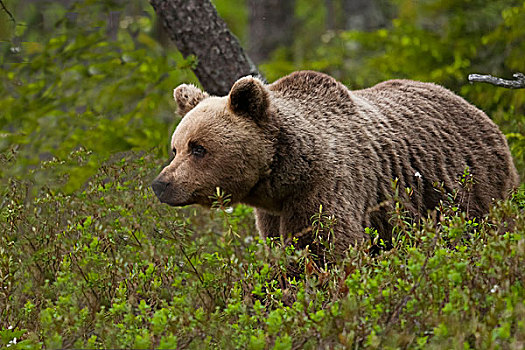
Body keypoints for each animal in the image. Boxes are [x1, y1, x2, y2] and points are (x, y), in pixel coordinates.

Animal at [152, 70, 520, 254]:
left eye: (199, 148)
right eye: (175, 149)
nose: (161, 184)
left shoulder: (327, 188)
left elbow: (330, 249)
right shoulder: (273, 215)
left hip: (469, 187)